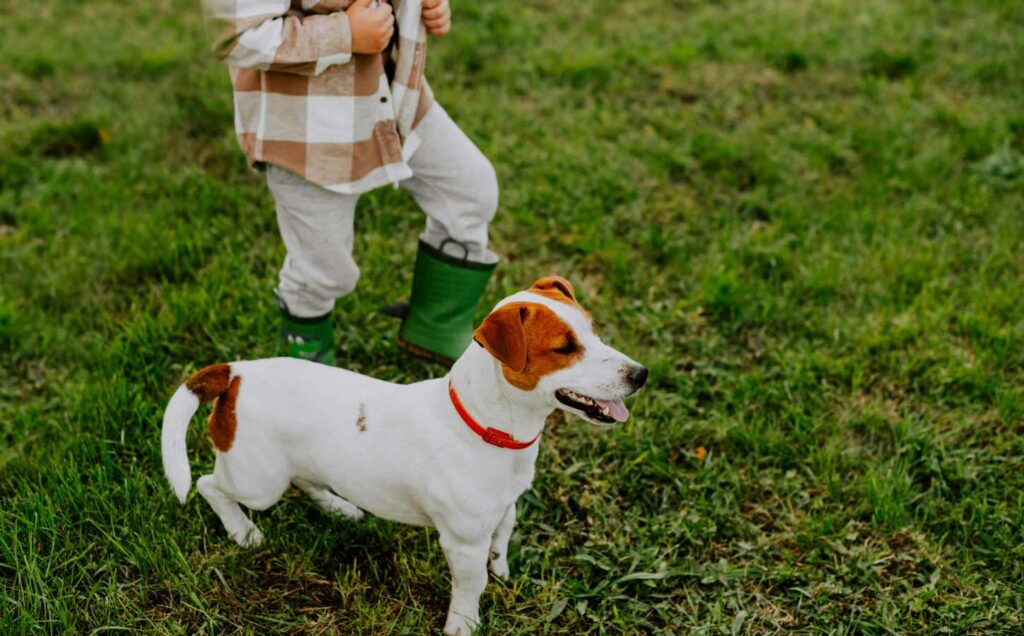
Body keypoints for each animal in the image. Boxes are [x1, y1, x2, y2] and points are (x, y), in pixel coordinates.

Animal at [160, 274, 647, 630]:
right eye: (565, 348)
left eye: (593, 331)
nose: (641, 374)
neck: (487, 428)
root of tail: (236, 372)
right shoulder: (462, 543)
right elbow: (471, 586)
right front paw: (463, 625)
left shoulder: (504, 506)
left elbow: (503, 533)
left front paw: (502, 566)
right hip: (258, 482)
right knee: (210, 485)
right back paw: (242, 531)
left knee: (306, 480)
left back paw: (339, 507)